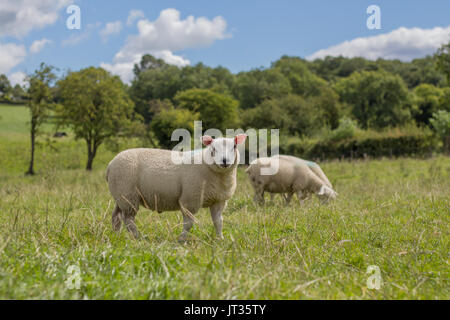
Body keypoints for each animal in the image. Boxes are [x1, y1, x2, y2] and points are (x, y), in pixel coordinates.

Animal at [105, 134, 246, 241]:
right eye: (213, 148)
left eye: (234, 146)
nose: (225, 161)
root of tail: (110, 164)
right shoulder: (190, 199)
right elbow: (188, 223)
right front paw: (181, 240)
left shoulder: (219, 200)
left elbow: (218, 222)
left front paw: (220, 239)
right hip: (128, 195)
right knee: (128, 220)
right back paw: (138, 237)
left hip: (120, 196)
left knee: (116, 217)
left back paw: (116, 236)